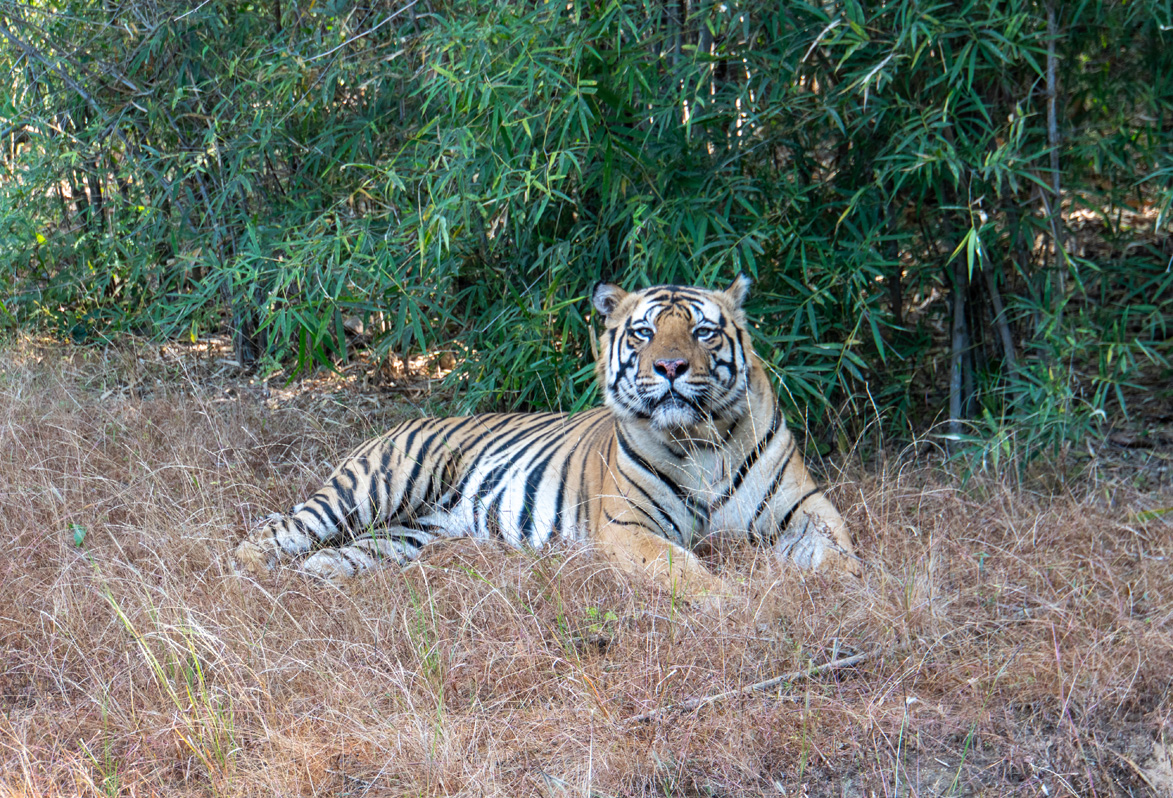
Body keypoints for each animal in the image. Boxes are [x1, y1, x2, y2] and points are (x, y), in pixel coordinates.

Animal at [232, 276, 859, 596]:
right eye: (643, 333)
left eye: (703, 332)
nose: (671, 368)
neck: (700, 438)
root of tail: (407, 419)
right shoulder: (629, 528)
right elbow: (685, 571)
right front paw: (735, 602)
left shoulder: (805, 507)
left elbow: (843, 552)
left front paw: (852, 590)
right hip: (373, 486)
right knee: (275, 532)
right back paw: (251, 573)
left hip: (410, 533)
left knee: (347, 551)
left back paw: (319, 573)